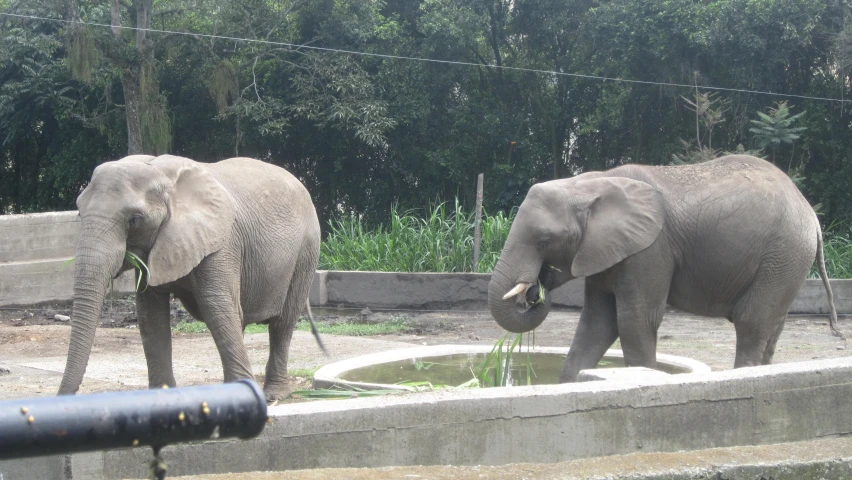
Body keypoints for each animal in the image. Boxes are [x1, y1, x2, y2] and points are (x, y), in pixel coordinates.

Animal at [57, 155, 322, 402]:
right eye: (79, 212)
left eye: (135, 220)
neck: (161, 173)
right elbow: (150, 314)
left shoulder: (221, 243)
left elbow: (216, 306)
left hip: (306, 250)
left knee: (282, 322)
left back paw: (274, 395)